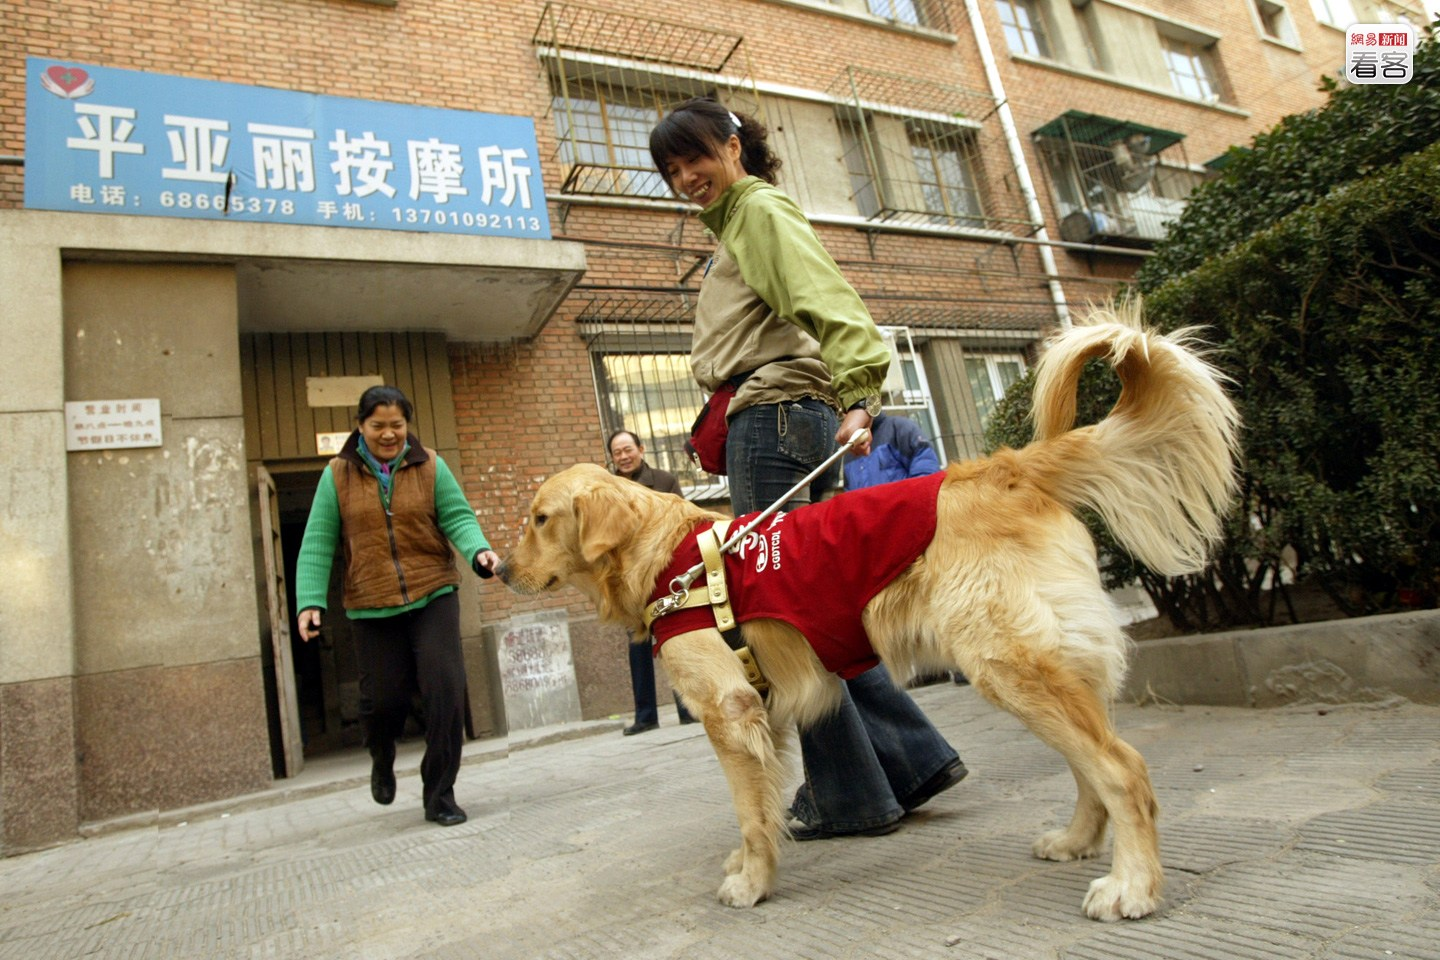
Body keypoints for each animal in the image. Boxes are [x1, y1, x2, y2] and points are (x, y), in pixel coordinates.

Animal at [498, 308, 1238, 921]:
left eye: (540, 519)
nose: (498, 570)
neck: (668, 558)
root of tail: (1008, 467)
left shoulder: (730, 712)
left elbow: (749, 813)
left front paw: (752, 882)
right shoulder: (762, 714)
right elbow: (762, 807)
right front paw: (754, 862)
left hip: (1008, 663)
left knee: (1122, 767)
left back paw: (1133, 886)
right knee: (1093, 762)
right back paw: (1078, 840)